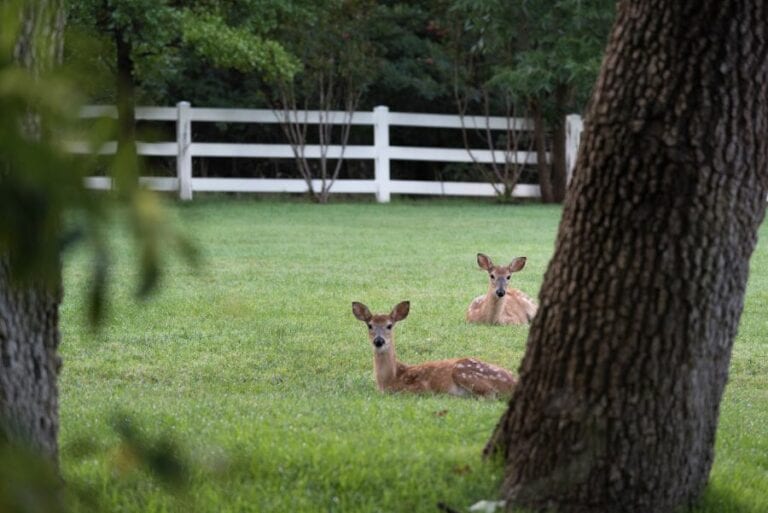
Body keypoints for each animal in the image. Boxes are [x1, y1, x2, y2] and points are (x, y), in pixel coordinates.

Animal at [352, 301, 517, 398]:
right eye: (370, 325)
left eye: (389, 325)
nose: (379, 341)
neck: (390, 379)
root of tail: (514, 381)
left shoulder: (419, 388)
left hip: (463, 371)